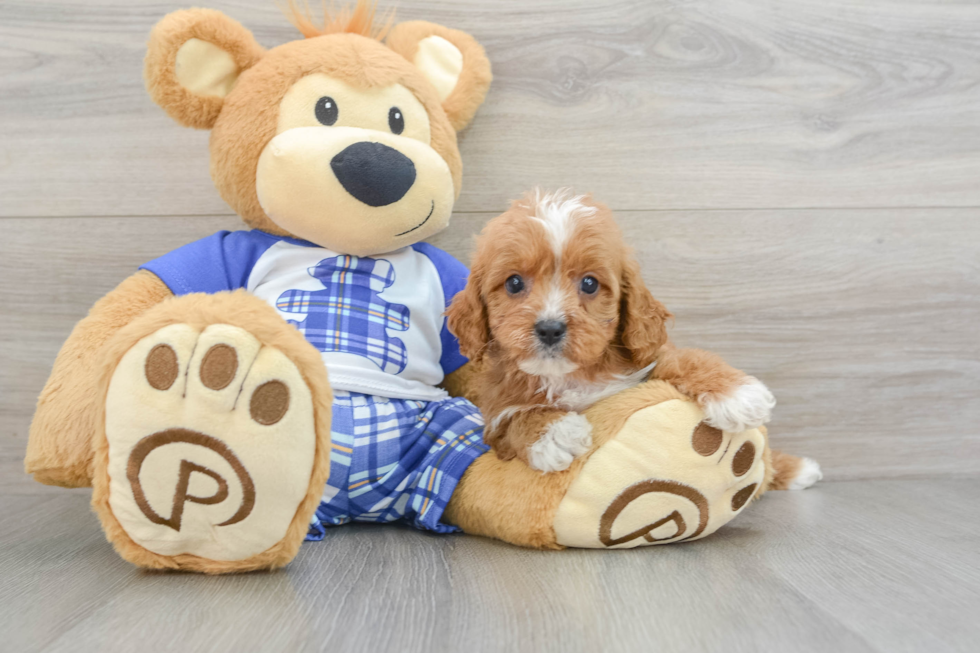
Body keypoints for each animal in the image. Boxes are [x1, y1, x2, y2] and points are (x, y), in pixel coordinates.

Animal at [450, 191, 780, 472]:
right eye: (514, 283)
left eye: (589, 283)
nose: (550, 329)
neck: (569, 375)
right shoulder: (494, 417)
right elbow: (512, 417)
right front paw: (554, 433)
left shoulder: (642, 364)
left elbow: (682, 358)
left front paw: (738, 394)